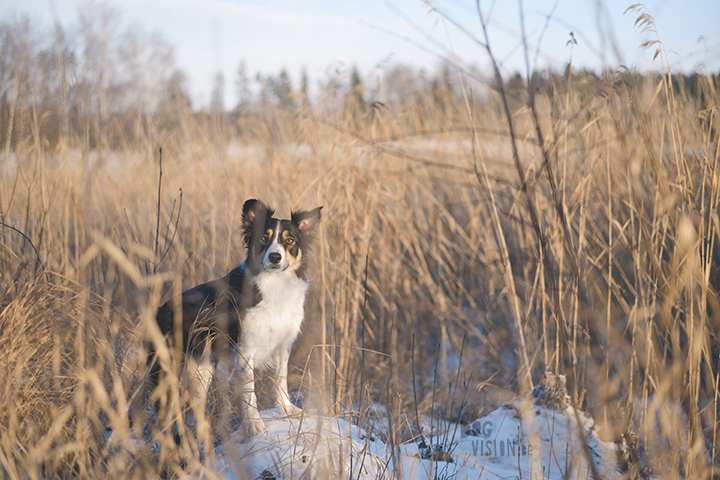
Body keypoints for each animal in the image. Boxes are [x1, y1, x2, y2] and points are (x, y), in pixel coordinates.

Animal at [148, 199, 322, 436]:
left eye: (290, 240)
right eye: (263, 238)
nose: (275, 257)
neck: (274, 284)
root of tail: (159, 310)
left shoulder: (283, 344)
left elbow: (281, 379)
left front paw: (287, 409)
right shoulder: (245, 349)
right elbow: (250, 392)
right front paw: (254, 424)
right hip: (185, 368)